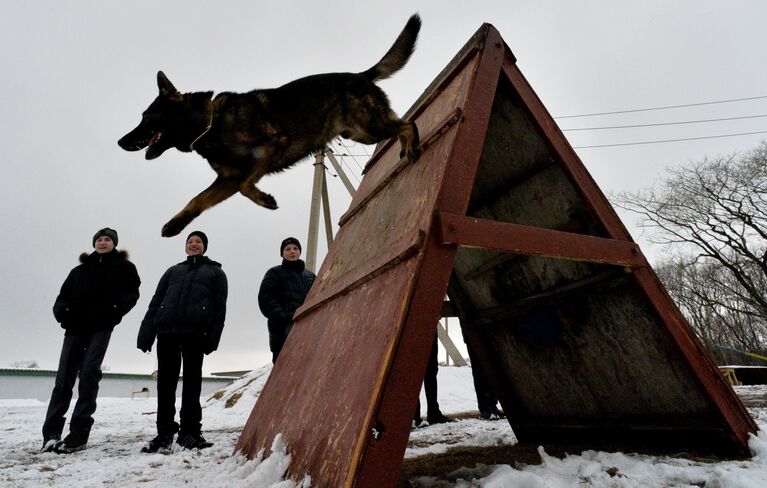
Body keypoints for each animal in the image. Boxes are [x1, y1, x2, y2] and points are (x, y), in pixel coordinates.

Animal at [118, 15, 426, 236]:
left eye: (146, 116)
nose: (120, 142)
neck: (210, 124)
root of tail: (361, 75)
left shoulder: (268, 148)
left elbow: (246, 185)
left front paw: (265, 199)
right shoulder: (226, 181)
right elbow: (198, 199)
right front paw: (176, 224)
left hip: (368, 128)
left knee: (408, 123)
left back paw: (412, 146)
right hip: (361, 132)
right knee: (400, 123)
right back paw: (403, 149)